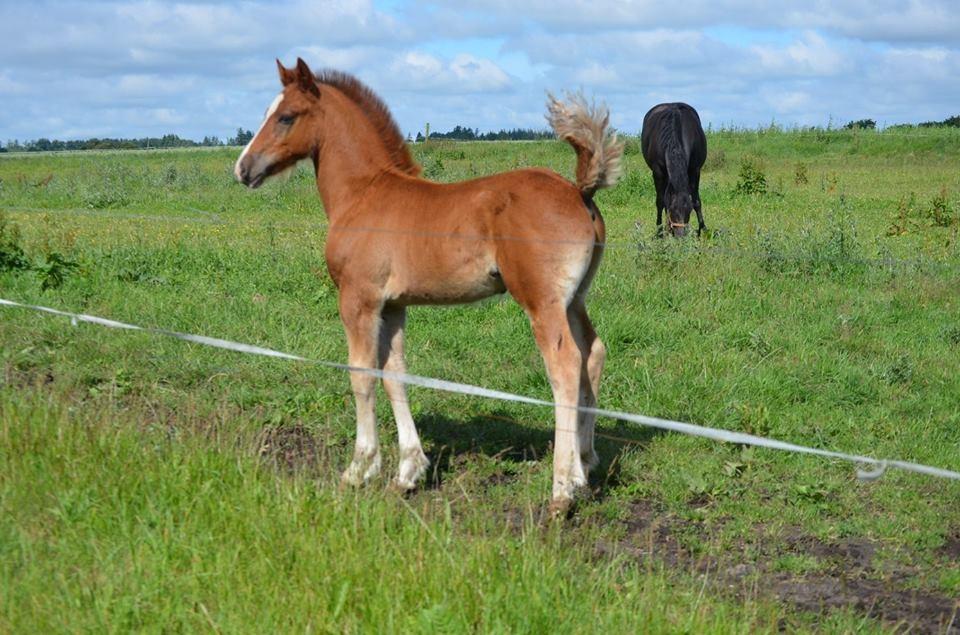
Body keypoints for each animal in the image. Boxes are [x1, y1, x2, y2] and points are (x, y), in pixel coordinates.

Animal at [232, 58, 624, 516]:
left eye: (286, 116)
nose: (243, 168)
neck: (363, 194)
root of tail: (579, 191)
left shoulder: (359, 299)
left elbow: (361, 375)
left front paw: (359, 468)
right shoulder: (393, 305)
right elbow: (394, 374)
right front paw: (407, 472)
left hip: (542, 302)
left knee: (564, 367)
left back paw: (563, 489)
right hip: (574, 299)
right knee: (592, 354)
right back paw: (586, 463)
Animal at [640, 103, 708, 237]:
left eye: (689, 210)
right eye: (673, 210)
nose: (680, 236)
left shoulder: (695, 170)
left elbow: (696, 200)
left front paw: (702, 230)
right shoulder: (658, 172)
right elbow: (660, 202)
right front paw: (659, 232)